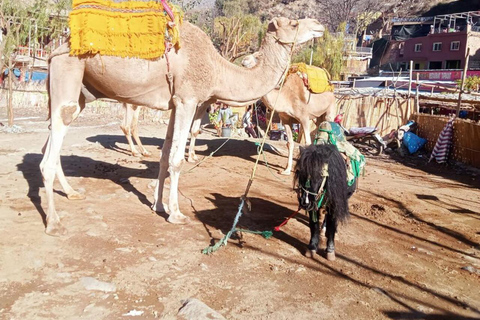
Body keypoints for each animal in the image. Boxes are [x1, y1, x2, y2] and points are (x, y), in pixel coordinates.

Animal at [41, 15, 324, 235]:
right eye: (294, 23)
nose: (319, 26)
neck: (217, 70)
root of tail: (55, 49)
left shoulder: (175, 103)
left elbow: (165, 155)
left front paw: (158, 205)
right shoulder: (188, 99)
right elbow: (176, 160)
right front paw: (176, 214)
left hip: (83, 91)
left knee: (51, 141)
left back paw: (72, 192)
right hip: (68, 72)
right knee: (52, 148)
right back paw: (54, 223)